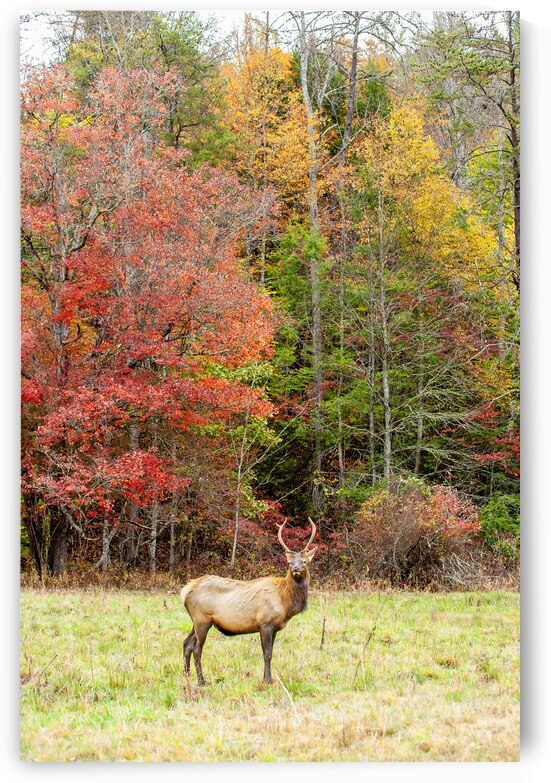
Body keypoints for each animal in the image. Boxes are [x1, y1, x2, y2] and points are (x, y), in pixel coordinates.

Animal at [180, 518, 318, 685]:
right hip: (202, 619)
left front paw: (267, 678)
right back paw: (201, 681)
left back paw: (187, 676)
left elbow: (270, 652)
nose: (296, 568)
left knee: (186, 644)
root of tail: (185, 591)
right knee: (197, 649)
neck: (285, 602)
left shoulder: (274, 627)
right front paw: (267, 680)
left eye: (305, 561)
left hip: (197, 621)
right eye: (289, 562)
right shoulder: (265, 623)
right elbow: (267, 654)